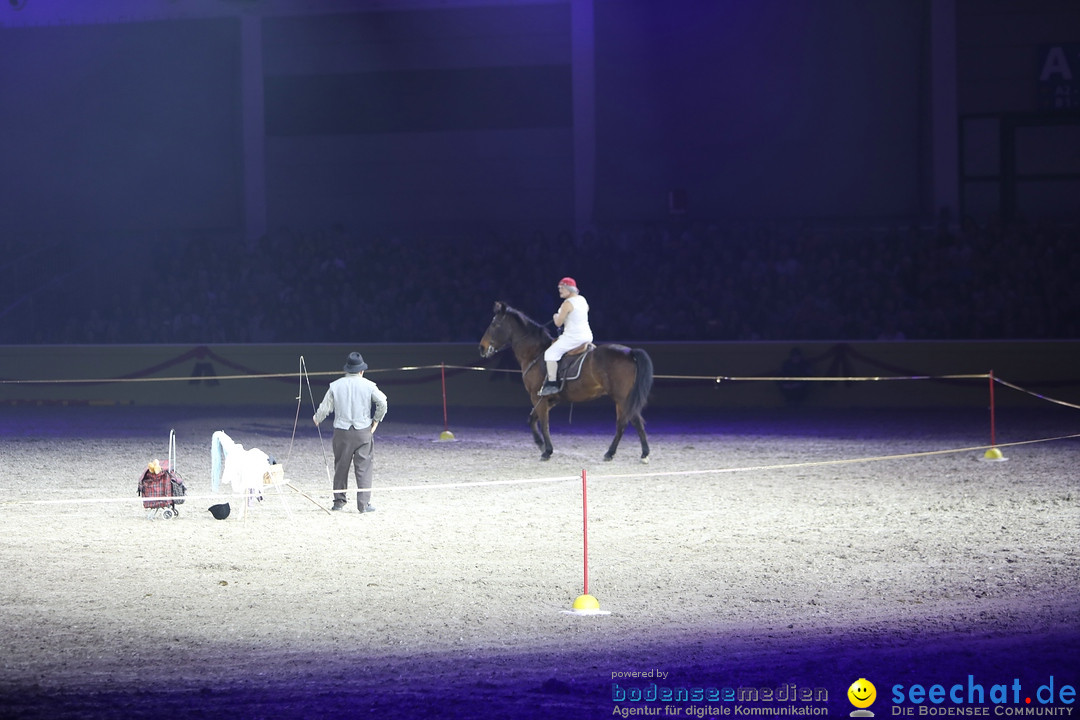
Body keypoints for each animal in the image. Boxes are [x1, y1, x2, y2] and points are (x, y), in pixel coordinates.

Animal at [479, 302, 648, 464]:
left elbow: (544, 424)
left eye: (495, 324)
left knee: (629, 422)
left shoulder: (537, 397)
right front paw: (541, 445)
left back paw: (627, 453)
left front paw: (547, 451)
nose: (482, 347)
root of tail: (629, 352)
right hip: (623, 400)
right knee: (627, 423)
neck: (535, 353)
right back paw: (629, 454)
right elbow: (532, 420)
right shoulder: (550, 399)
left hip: (622, 398)